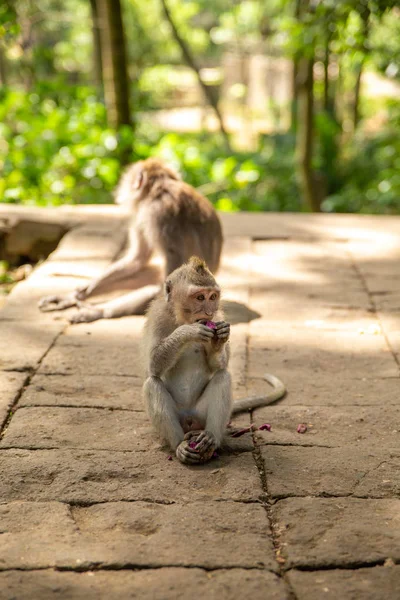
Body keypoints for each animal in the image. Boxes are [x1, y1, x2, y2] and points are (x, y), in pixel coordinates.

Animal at [38, 157, 222, 322]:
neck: (159, 189)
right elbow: (138, 259)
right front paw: (81, 291)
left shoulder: (159, 214)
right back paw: (78, 299)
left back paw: (99, 311)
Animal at [142, 256, 286, 464]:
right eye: (200, 298)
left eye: (213, 297)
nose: (209, 313)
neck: (183, 318)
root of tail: (190, 420)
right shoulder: (158, 317)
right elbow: (153, 365)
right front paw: (188, 332)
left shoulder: (220, 316)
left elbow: (219, 365)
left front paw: (218, 340)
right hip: (180, 419)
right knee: (152, 384)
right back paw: (180, 446)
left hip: (201, 415)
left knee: (223, 377)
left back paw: (211, 439)